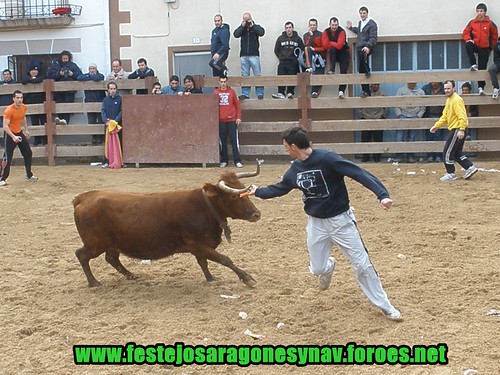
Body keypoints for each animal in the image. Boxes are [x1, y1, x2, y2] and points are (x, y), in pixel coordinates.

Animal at [75, 162, 262, 288]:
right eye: (233, 196)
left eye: (244, 188)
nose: (256, 214)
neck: (204, 206)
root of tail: (83, 197)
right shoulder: (199, 245)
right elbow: (225, 259)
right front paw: (247, 278)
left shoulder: (199, 247)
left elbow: (203, 263)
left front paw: (210, 278)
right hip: (95, 244)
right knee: (81, 255)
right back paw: (94, 282)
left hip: (112, 244)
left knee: (112, 258)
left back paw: (132, 276)